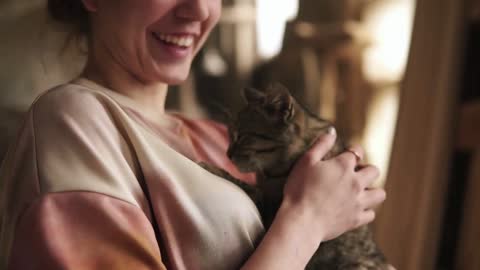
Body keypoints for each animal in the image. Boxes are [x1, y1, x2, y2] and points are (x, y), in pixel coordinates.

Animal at [202, 83, 390, 268]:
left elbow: (250, 188)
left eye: (242, 136)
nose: (227, 154)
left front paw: (211, 167)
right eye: (229, 134)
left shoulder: (271, 210)